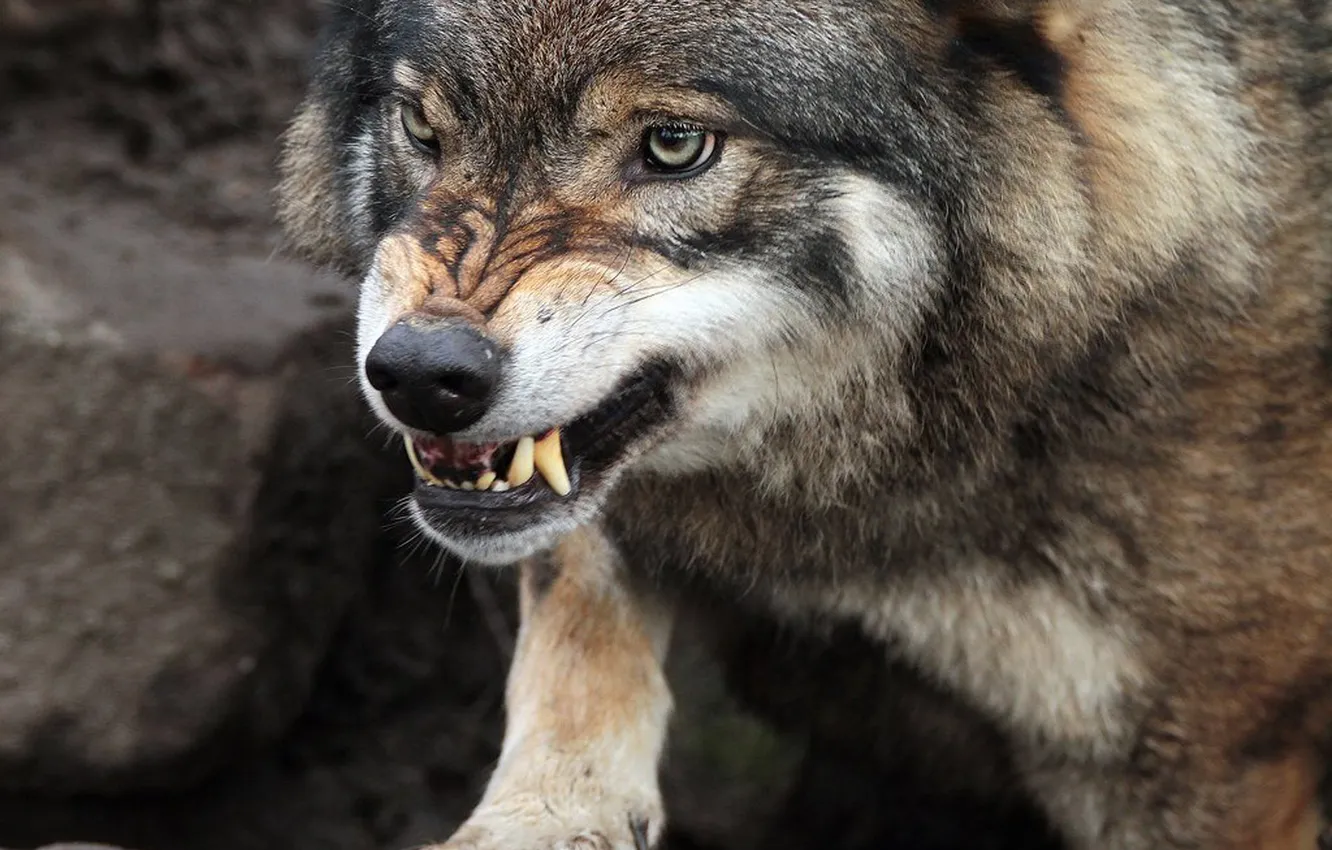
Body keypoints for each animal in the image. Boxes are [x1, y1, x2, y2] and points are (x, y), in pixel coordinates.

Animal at [277, 0, 1332, 847]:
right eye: (422, 123)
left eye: (675, 145)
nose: (421, 376)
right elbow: (576, 611)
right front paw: (543, 816)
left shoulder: (1214, 767)